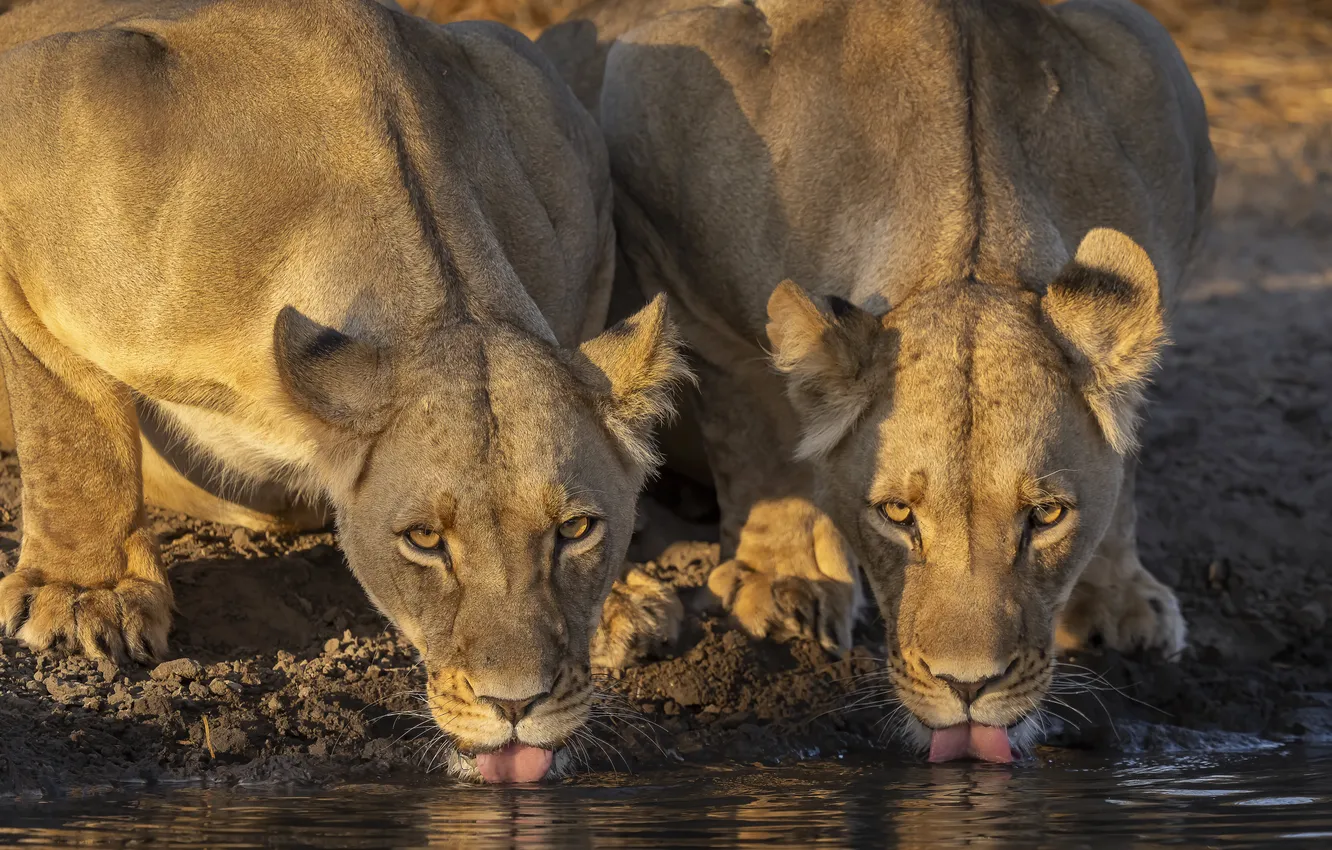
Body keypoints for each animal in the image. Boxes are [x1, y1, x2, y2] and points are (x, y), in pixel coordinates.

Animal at [0, 0, 689, 783]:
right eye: (424, 540)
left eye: (575, 529)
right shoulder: (41, 109)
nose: (517, 705)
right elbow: (67, 415)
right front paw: (88, 595)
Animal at [540, 0, 1215, 760]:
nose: (969, 687)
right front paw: (785, 580)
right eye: (896, 514)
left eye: (1046, 517)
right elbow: (757, 427)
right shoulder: (661, 208)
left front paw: (1120, 598)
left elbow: (1124, 450)